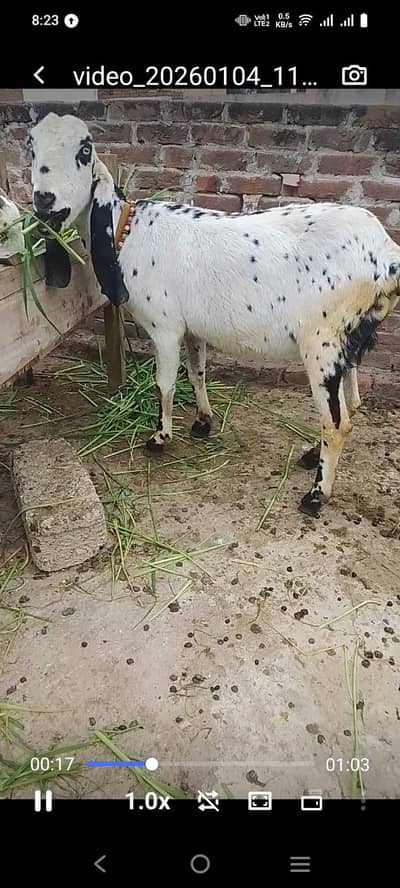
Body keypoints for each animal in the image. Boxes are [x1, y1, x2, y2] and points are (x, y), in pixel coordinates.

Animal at [27, 112, 400, 516]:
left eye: (85, 151)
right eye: (30, 148)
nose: (43, 199)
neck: (129, 231)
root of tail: (387, 255)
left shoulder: (165, 327)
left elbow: (164, 384)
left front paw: (159, 438)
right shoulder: (193, 328)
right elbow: (197, 373)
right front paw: (203, 422)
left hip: (323, 341)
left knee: (336, 422)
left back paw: (316, 495)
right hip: (350, 340)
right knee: (350, 406)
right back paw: (310, 455)